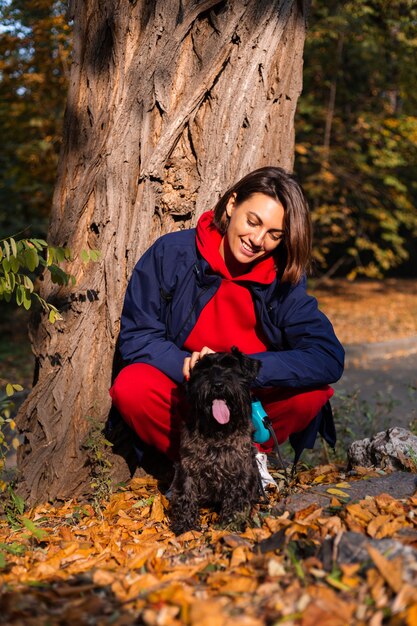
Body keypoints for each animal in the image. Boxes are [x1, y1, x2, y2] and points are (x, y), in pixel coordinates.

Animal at [169, 346, 260, 532]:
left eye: (230, 366)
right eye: (204, 370)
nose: (217, 384)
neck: (217, 429)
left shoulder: (240, 467)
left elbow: (237, 496)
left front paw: (231, 521)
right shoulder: (188, 465)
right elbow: (186, 492)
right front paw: (184, 524)